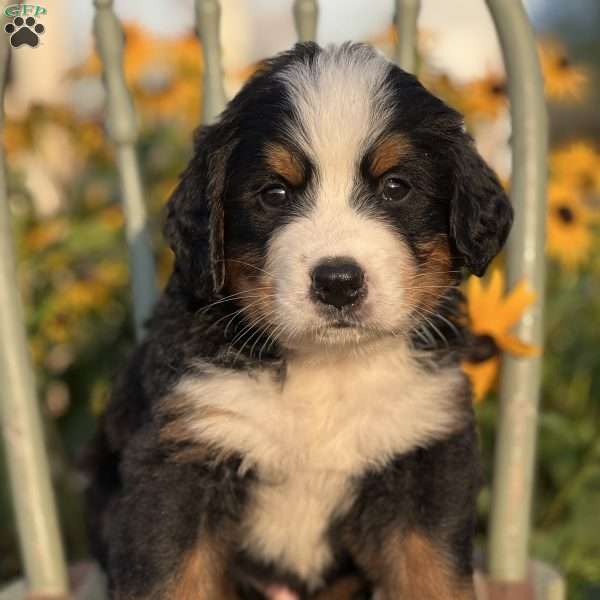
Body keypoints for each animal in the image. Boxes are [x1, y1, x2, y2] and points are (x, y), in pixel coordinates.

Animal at [86, 42, 512, 600]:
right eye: (275, 193)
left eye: (396, 187)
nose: (338, 282)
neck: (326, 369)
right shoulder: (179, 461)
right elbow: (174, 578)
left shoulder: (423, 455)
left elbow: (431, 574)